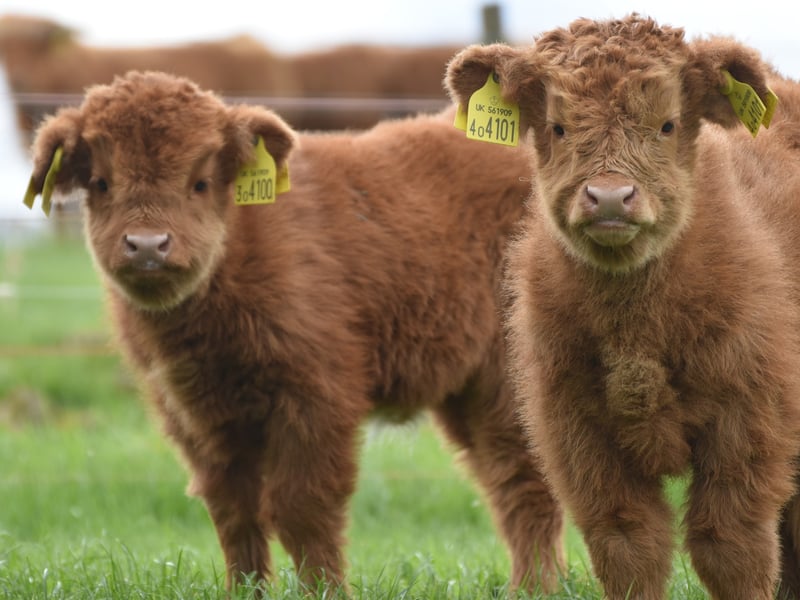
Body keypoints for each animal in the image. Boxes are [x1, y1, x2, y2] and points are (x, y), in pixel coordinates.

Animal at [25, 70, 563, 593]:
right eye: (100, 182)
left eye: (200, 182)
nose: (147, 244)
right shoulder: (195, 415)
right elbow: (234, 513)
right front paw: (245, 592)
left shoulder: (317, 396)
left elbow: (302, 509)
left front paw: (323, 590)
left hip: (510, 381)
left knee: (525, 479)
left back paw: (534, 587)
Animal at [446, 15, 800, 600]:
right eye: (558, 127)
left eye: (667, 125)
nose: (610, 197)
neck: (635, 332)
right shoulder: (576, 429)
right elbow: (629, 545)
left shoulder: (752, 415)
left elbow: (731, 545)